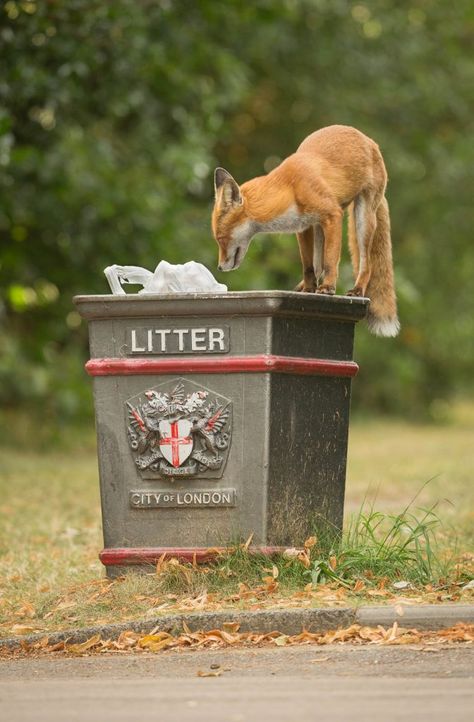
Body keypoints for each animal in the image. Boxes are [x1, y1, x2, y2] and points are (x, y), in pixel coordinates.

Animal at [212, 124, 400, 338]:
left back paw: (357, 289)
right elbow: (309, 267)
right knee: (317, 265)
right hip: (319, 229)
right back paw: (304, 287)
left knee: (365, 264)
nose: (220, 267)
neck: (290, 188)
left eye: (221, 238)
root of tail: (368, 140)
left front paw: (328, 287)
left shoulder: (333, 216)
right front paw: (309, 288)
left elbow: (330, 261)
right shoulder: (303, 227)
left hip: (363, 218)